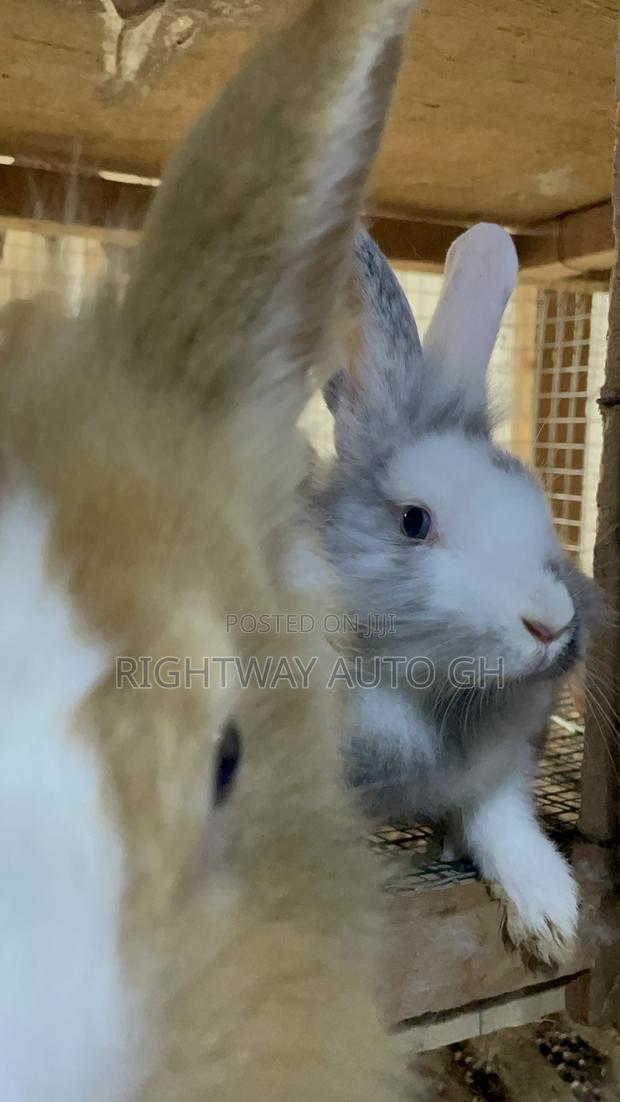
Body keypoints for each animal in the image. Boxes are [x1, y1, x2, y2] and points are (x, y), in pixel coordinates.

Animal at [304, 222, 602, 968]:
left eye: (538, 506)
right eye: (414, 522)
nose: (550, 623)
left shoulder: (503, 767)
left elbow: (501, 824)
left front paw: (551, 918)